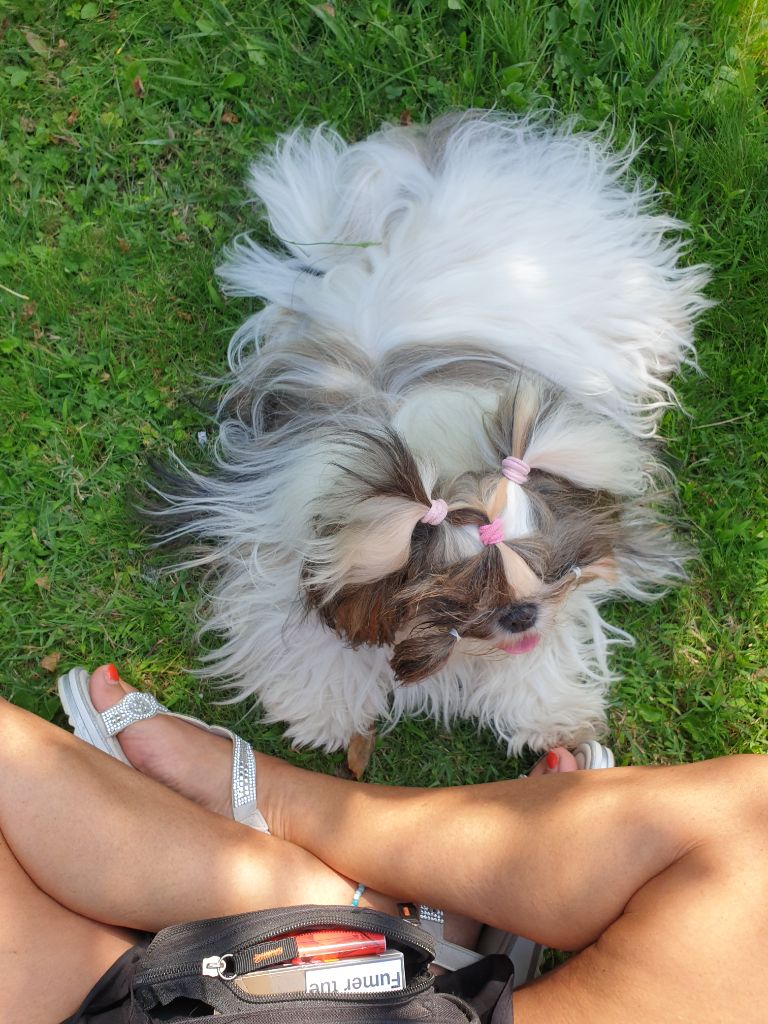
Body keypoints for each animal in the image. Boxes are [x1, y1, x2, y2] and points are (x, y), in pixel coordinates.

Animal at [148, 111, 709, 765]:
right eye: (454, 599)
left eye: (550, 566)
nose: (519, 615)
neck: (438, 463)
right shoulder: (278, 541)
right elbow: (302, 629)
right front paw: (323, 707)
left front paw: (548, 714)